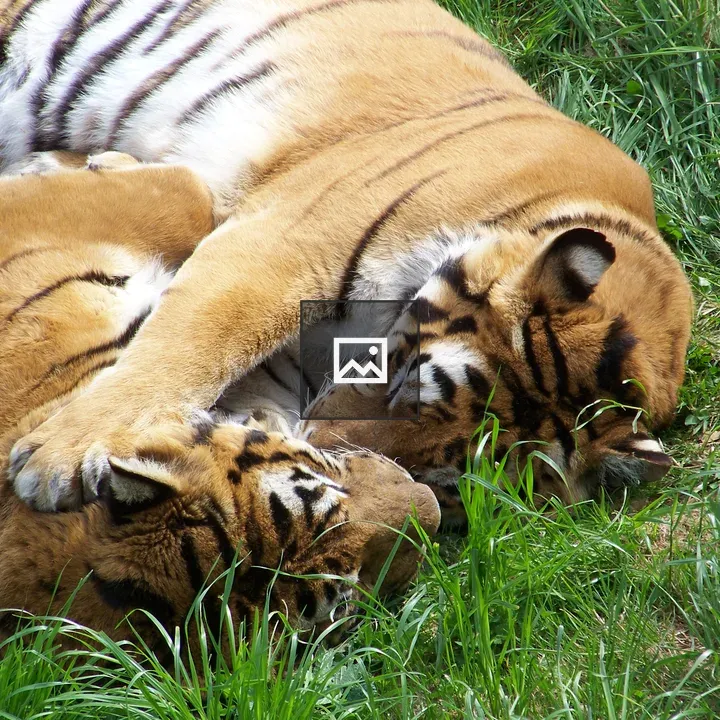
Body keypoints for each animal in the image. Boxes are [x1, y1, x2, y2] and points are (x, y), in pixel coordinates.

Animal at [0, 0, 693, 521]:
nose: (326, 449)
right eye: (409, 386)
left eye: (448, 470)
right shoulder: (286, 244)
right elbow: (189, 347)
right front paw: (58, 457)